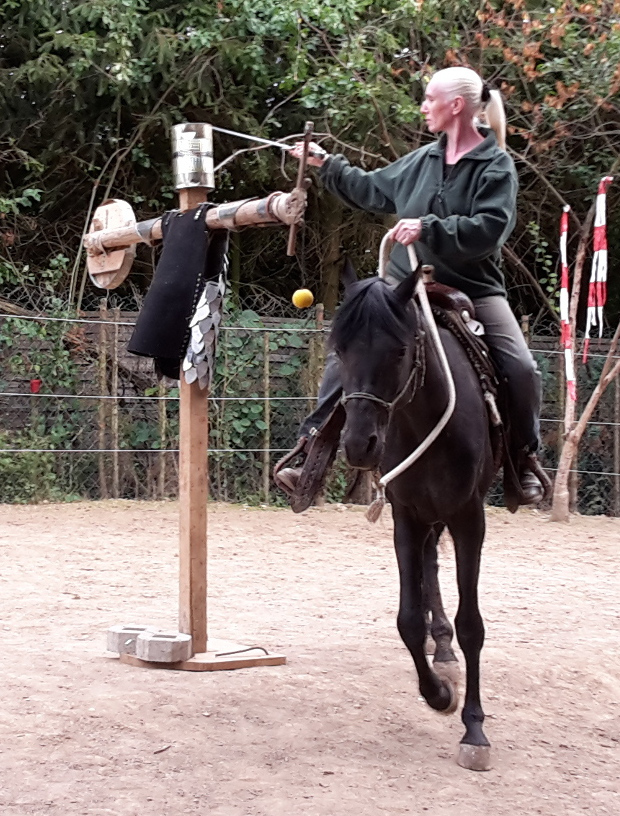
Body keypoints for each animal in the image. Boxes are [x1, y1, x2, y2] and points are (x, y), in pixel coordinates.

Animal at [331, 261, 497, 771]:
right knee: (429, 565)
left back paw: (443, 646)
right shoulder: (405, 515)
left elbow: (472, 625)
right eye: (339, 349)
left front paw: (474, 729)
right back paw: (437, 646)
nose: (358, 444)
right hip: (425, 516)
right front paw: (438, 694)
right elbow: (406, 619)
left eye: (400, 349)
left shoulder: (469, 518)